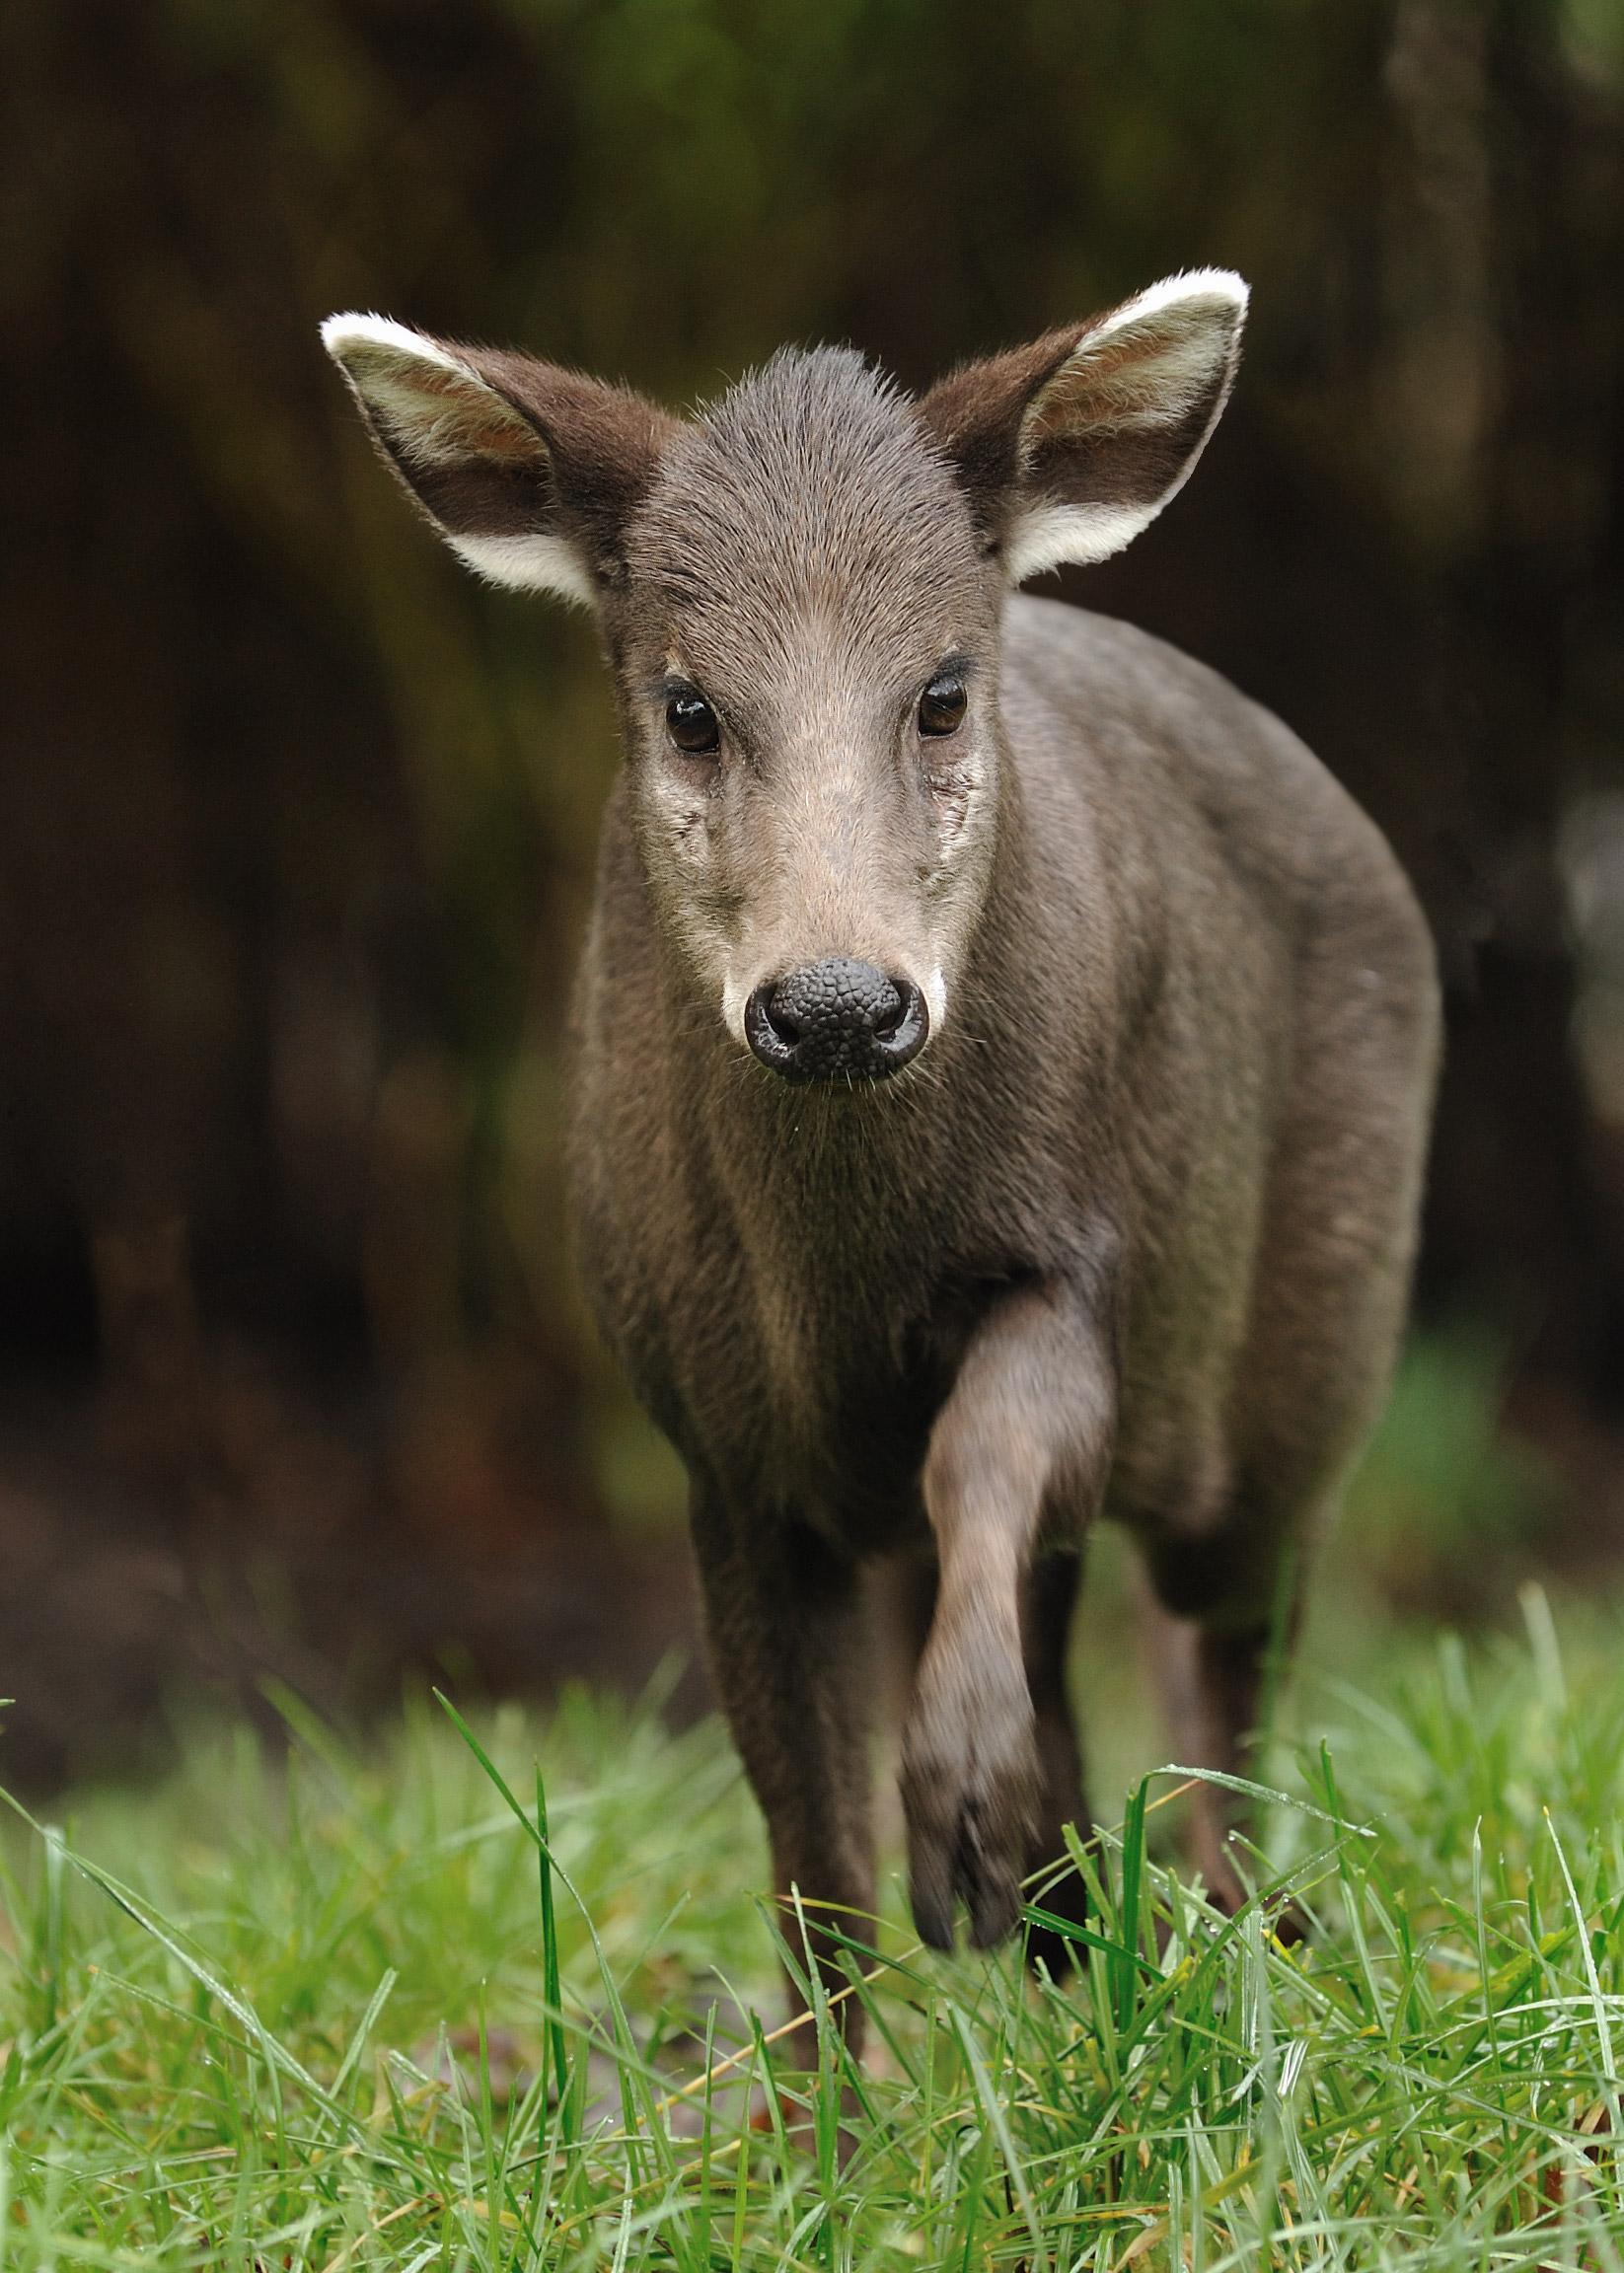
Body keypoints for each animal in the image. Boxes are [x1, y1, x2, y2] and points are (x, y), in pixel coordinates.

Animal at [323, 274, 1437, 2054]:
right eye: (689, 707)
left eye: (939, 692)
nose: (837, 1001)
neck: (836, 1266)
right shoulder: (711, 1437)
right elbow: (807, 1850)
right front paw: (836, 2090)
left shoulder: (1078, 1257)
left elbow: (987, 1455)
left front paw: (968, 1821)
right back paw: (1081, 1939)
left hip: (1313, 1357)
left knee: (1228, 1659)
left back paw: (1235, 1941)